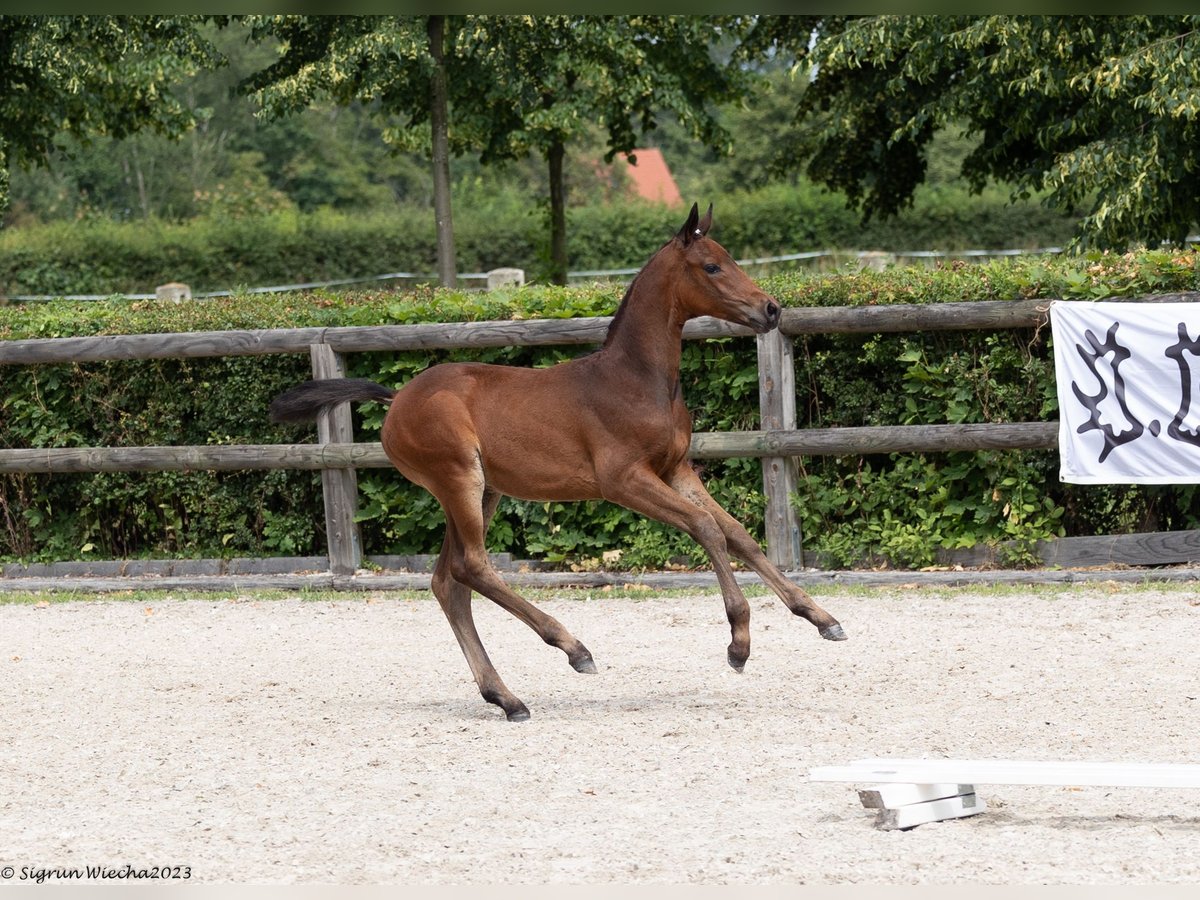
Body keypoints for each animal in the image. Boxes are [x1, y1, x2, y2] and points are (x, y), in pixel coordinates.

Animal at [271, 200, 844, 724]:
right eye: (711, 266)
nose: (771, 310)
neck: (635, 379)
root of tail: (395, 400)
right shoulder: (624, 480)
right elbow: (706, 528)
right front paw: (739, 643)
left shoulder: (675, 469)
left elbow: (738, 534)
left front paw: (821, 617)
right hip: (458, 479)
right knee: (472, 567)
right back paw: (573, 649)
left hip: (484, 490)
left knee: (448, 583)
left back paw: (507, 698)